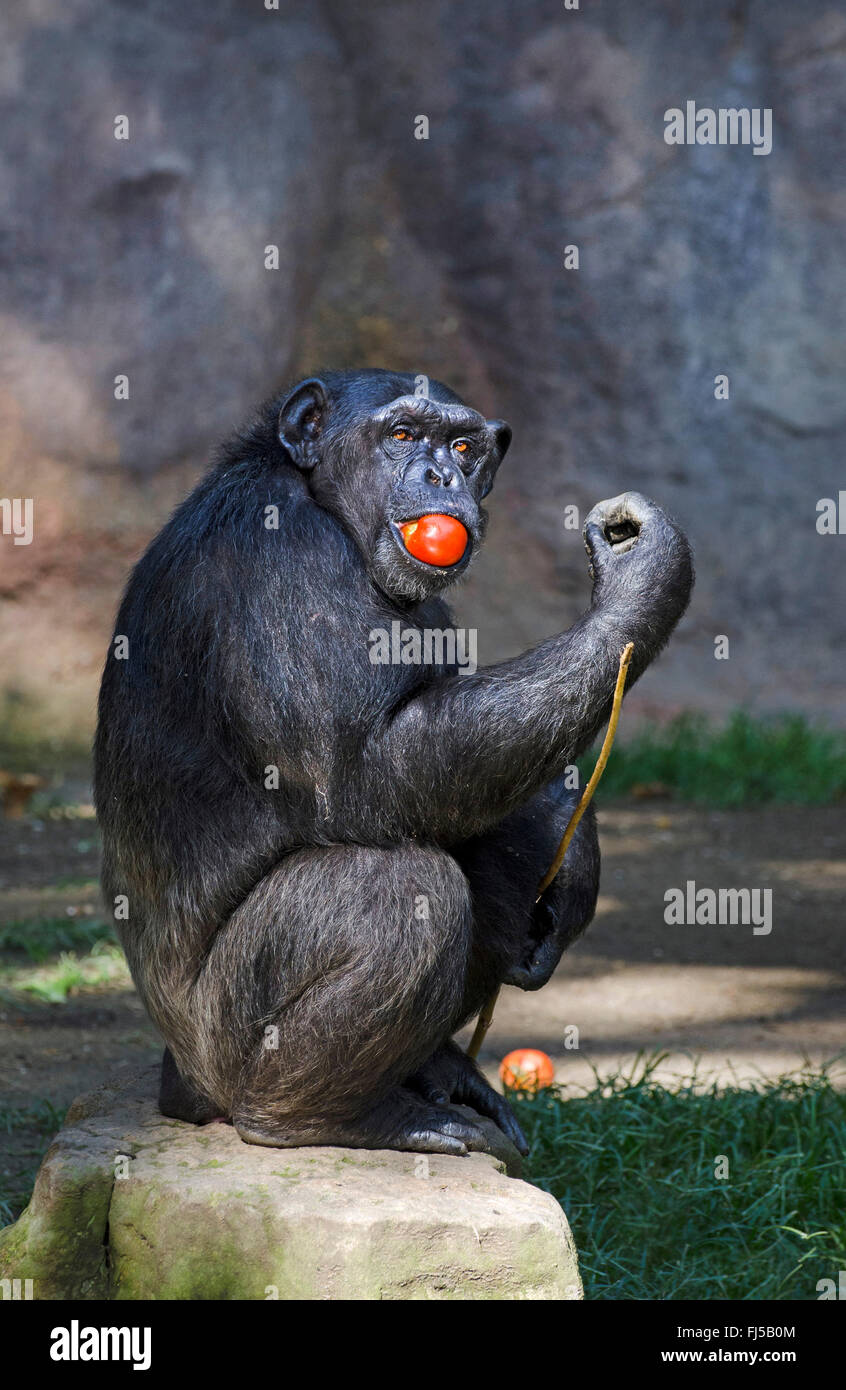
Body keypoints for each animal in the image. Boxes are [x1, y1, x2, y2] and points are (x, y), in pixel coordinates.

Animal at [92, 366, 689, 1150]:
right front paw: (641, 582)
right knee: (395, 892)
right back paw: (334, 1117)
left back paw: (440, 1072)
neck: (323, 499)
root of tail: (181, 1094)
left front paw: (575, 867)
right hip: (220, 1045)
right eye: (402, 434)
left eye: (462, 446)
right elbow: (366, 769)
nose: (441, 474)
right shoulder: (283, 556)